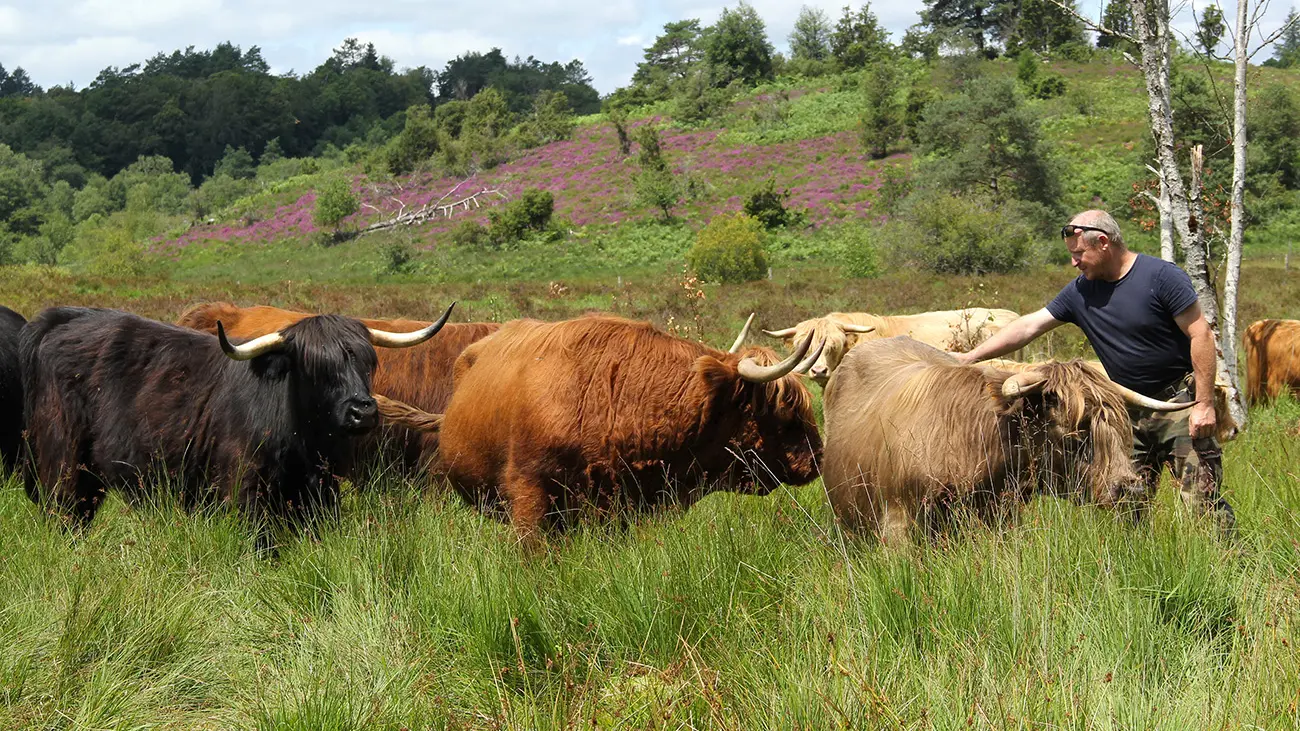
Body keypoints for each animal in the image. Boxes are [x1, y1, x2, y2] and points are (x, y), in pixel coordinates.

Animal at [17, 304, 447, 538]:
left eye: (367, 363)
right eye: (315, 369)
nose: (364, 411)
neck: (300, 441)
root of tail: (62, 319)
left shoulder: (320, 493)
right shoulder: (243, 489)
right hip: (61, 464)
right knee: (64, 515)